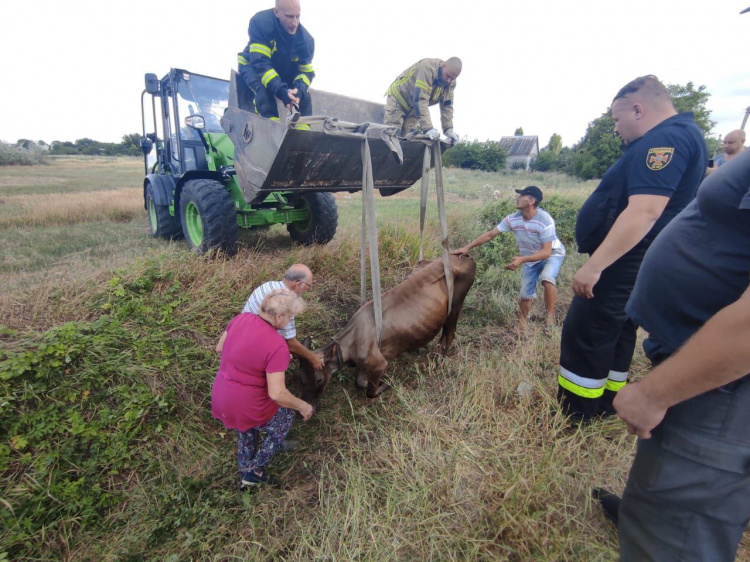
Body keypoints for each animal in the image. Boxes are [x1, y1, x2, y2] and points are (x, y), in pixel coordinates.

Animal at [296, 254, 476, 402]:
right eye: (301, 378)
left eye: (319, 379)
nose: (308, 404)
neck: (352, 341)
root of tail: (463, 255)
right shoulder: (365, 363)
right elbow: (359, 382)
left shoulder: (379, 363)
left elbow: (369, 392)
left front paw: (386, 385)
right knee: (444, 332)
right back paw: (435, 352)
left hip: (457, 304)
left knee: (450, 333)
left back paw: (440, 361)